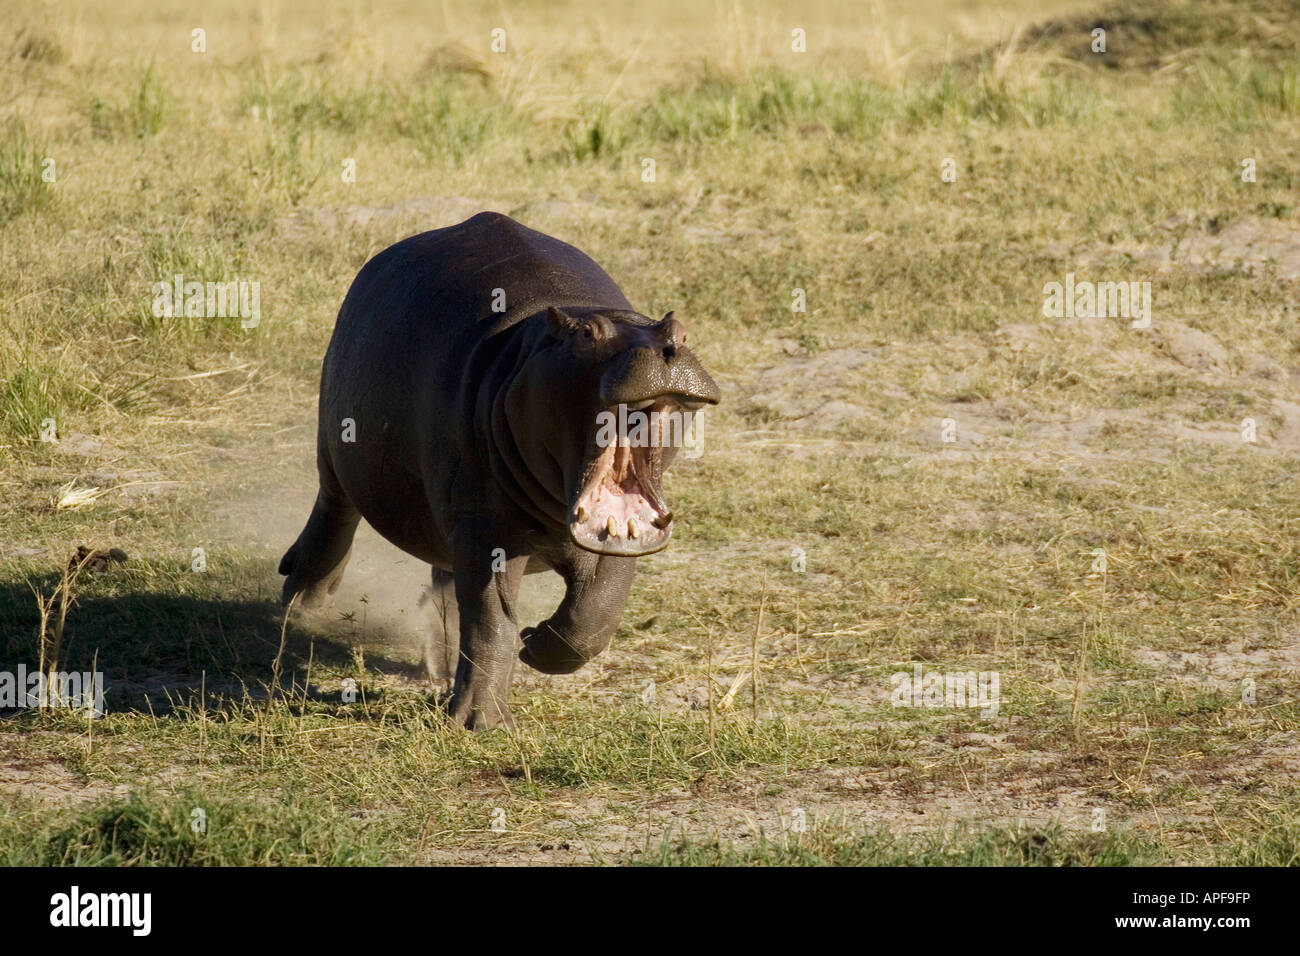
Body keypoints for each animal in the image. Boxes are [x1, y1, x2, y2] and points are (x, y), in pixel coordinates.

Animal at [279, 212, 720, 729]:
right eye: (587, 335)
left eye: (682, 330)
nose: (665, 346)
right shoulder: (484, 529)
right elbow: (492, 619)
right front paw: (479, 723)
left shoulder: (617, 531)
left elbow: (597, 610)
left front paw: (536, 644)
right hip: (337, 443)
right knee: (334, 513)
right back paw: (302, 602)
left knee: (444, 581)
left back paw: (440, 661)